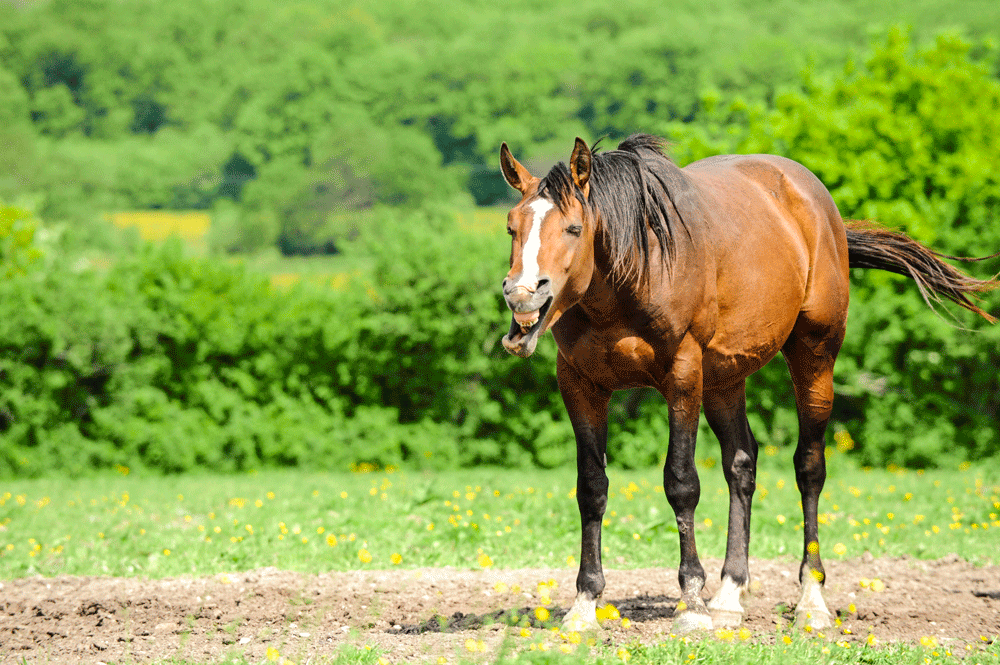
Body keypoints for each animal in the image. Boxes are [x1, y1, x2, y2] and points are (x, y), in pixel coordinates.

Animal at [496, 134, 998, 633]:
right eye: (511, 227)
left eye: (573, 228)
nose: (522, 294)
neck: (632, 274)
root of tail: (821, 208)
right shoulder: (580, 384)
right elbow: (592, 488)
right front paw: (585, 603)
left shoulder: (683, 375)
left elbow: (681, 483)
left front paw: (691, 603)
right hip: (724, 379)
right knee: (741, 464)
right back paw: (730, 593)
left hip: (814, 357)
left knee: (809, 468)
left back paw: (811, 599)